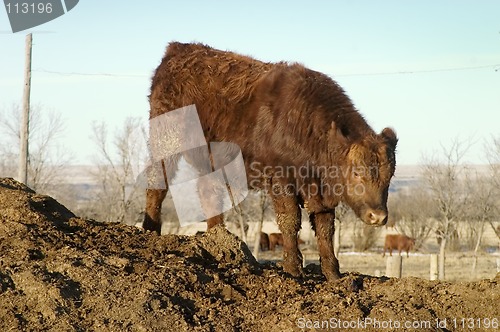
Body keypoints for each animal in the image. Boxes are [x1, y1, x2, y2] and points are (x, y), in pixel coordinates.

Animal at [145, 41, 398, 280]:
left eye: (390, 175)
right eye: (357, 173)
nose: (378, 216)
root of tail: (179, 49)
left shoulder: (321, 194)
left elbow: (326, 229)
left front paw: (333, 275)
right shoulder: (281, 181)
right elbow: (290, 221)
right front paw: (293, 269)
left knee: (209, 193)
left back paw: (218, 240)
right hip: (166, 142)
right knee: (157, 183)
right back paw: (150, 231)